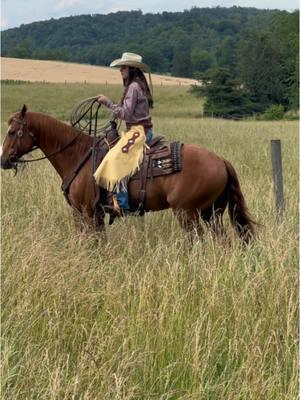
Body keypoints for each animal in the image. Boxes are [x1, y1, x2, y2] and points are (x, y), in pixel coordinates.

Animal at [0, 105, 255, 244]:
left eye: (12, 131)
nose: (3, 161)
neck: (79, 155)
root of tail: (220, 160)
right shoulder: (86, 214)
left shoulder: (87, 212)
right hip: (211, 213)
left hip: (188, 213)